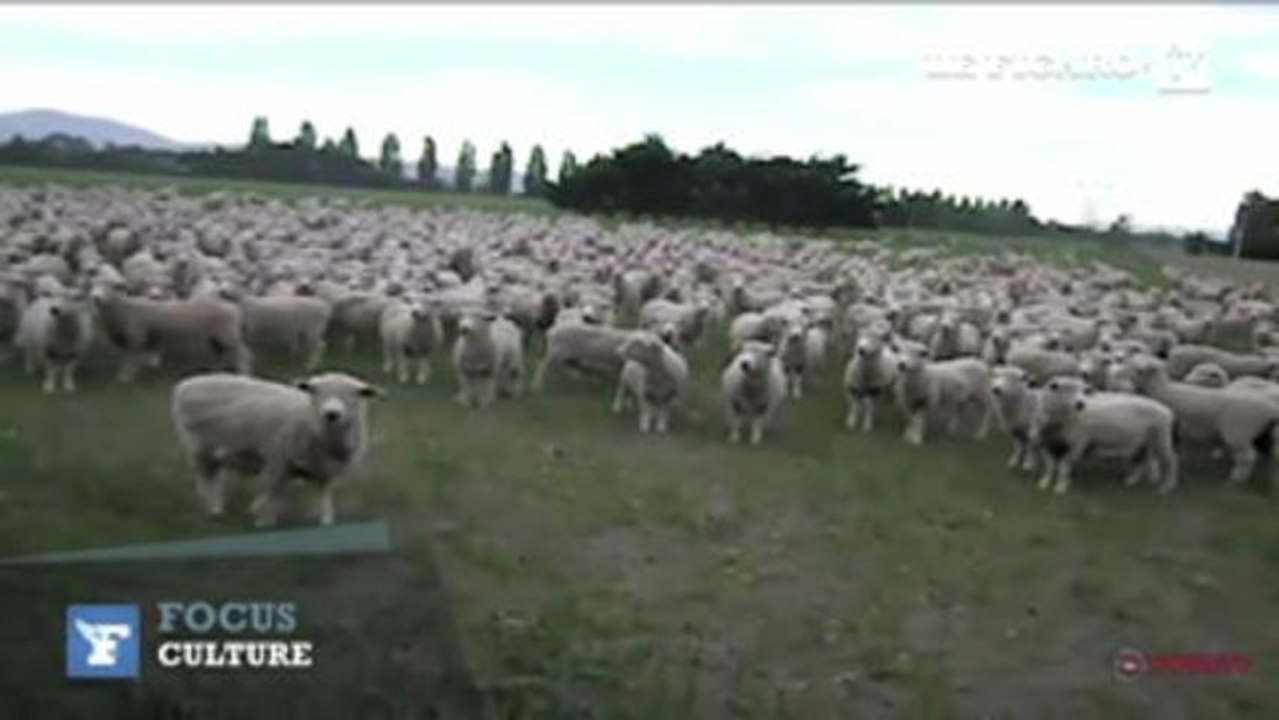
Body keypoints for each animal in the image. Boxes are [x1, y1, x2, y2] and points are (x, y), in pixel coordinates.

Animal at [171, 372, 384, 527]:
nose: (332, 414)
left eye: (355, 393)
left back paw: (217, 505)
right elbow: (272, 491)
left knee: (215, 475)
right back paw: (213, 509)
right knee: (206, 478)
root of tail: (186, 383)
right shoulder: (276, 461)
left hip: (217, 452)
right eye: (315, 391)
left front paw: (326, 521)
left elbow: (323, 495)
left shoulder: (324, 471)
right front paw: (264, 521)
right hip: (199, 447)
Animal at [1033, 376, 1178, 495]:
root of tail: (1167, 410)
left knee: (1171, 461)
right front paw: (1044, 483)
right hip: (1145, 442)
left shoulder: (1078, 444)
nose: (1081, 404)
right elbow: (1050, 466)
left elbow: (1064, 466)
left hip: (1161, 437)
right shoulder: (1045, 442)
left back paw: (1167, 487)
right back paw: (1132, 480)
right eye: (1065, 389)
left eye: (1083, 390)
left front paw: (1061, 487)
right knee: (1142, 459)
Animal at [1129, 355, 1279, 486]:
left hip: (1238, 432)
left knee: (1249, 457)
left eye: (1138, 370)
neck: (1163, 390)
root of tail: (1269, 409)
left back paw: (1235, 480)